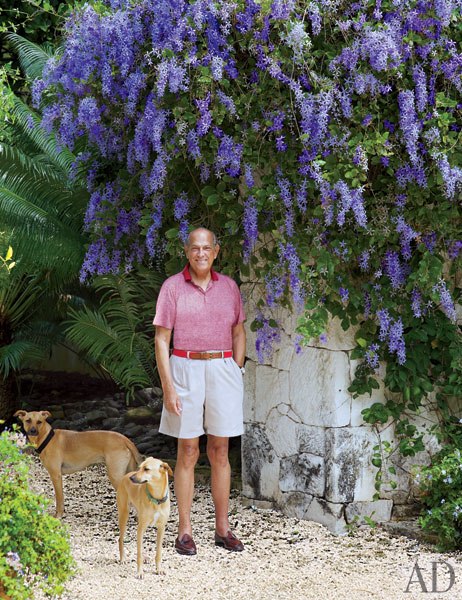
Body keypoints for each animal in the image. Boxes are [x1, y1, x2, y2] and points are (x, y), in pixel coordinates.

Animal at [14, 410, 142, 518]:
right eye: (28, 420)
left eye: (39, 422)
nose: (33, 431)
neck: (47, 439)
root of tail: (125, 439)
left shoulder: (56, 476)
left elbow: (59, 499)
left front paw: (58, 515)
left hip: (115, 475)